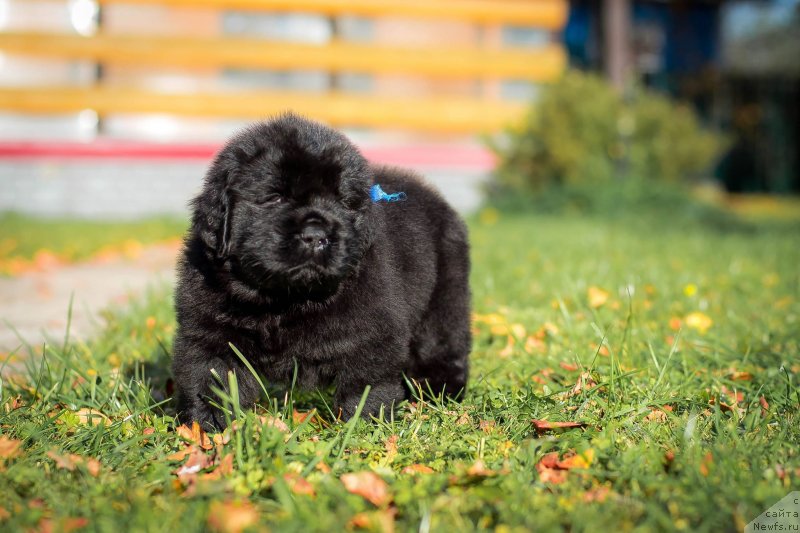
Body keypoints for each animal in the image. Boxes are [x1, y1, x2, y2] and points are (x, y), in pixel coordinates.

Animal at [170, 113, 468, 428]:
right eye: (274, 197)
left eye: (342, 202)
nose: (316, 235)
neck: (284, 299)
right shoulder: (210, 330)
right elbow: (211, 378)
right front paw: (208, 426)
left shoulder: (373, 331)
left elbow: (367, 384)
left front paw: (363, 424)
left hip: (444, 298)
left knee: (442, 344)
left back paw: (441, 392)